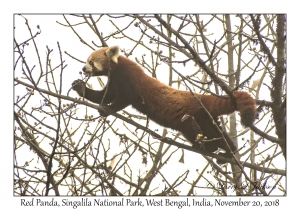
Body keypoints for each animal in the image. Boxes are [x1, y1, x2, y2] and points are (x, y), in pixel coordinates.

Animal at [72, 45, 255, 164]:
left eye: (91, 62)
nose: (83, 68)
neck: (117, 69)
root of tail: (202, 98)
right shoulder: (114, 83)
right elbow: (103, 95)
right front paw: (81, 88)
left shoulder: (129, 81)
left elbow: (124, 99)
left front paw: (108, 109)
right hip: (196, 123)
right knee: (211, 135)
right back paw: (215, 150)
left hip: (200, 118)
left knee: (216, 136)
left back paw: (228, 152)